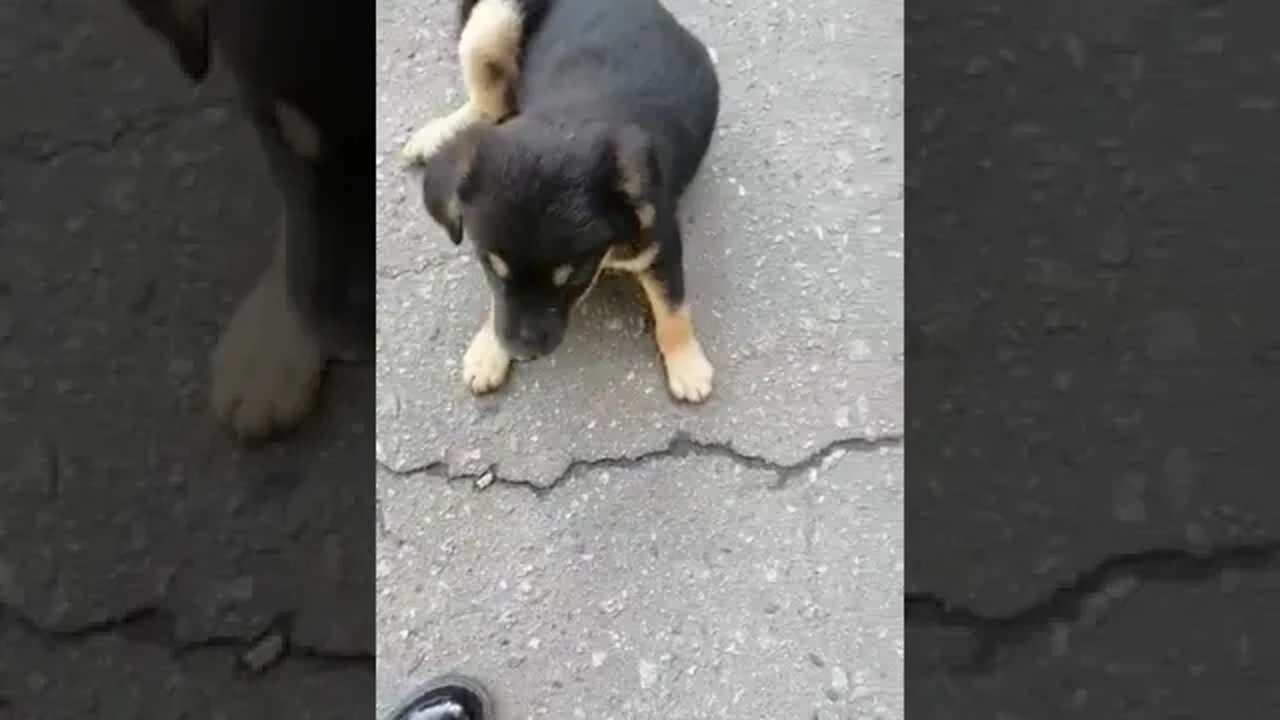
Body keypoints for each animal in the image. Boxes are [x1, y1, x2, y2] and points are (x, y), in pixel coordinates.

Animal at [401, 0, 721, 399]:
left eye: (575, 277)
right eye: (489, 266)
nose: (522, 353)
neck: (567, 124)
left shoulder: (659, 242)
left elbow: (673, 306)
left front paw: (687, 364)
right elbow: (499, 301)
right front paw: (488, 350)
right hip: (492, 20)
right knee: (487, 104)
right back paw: (434, 135)